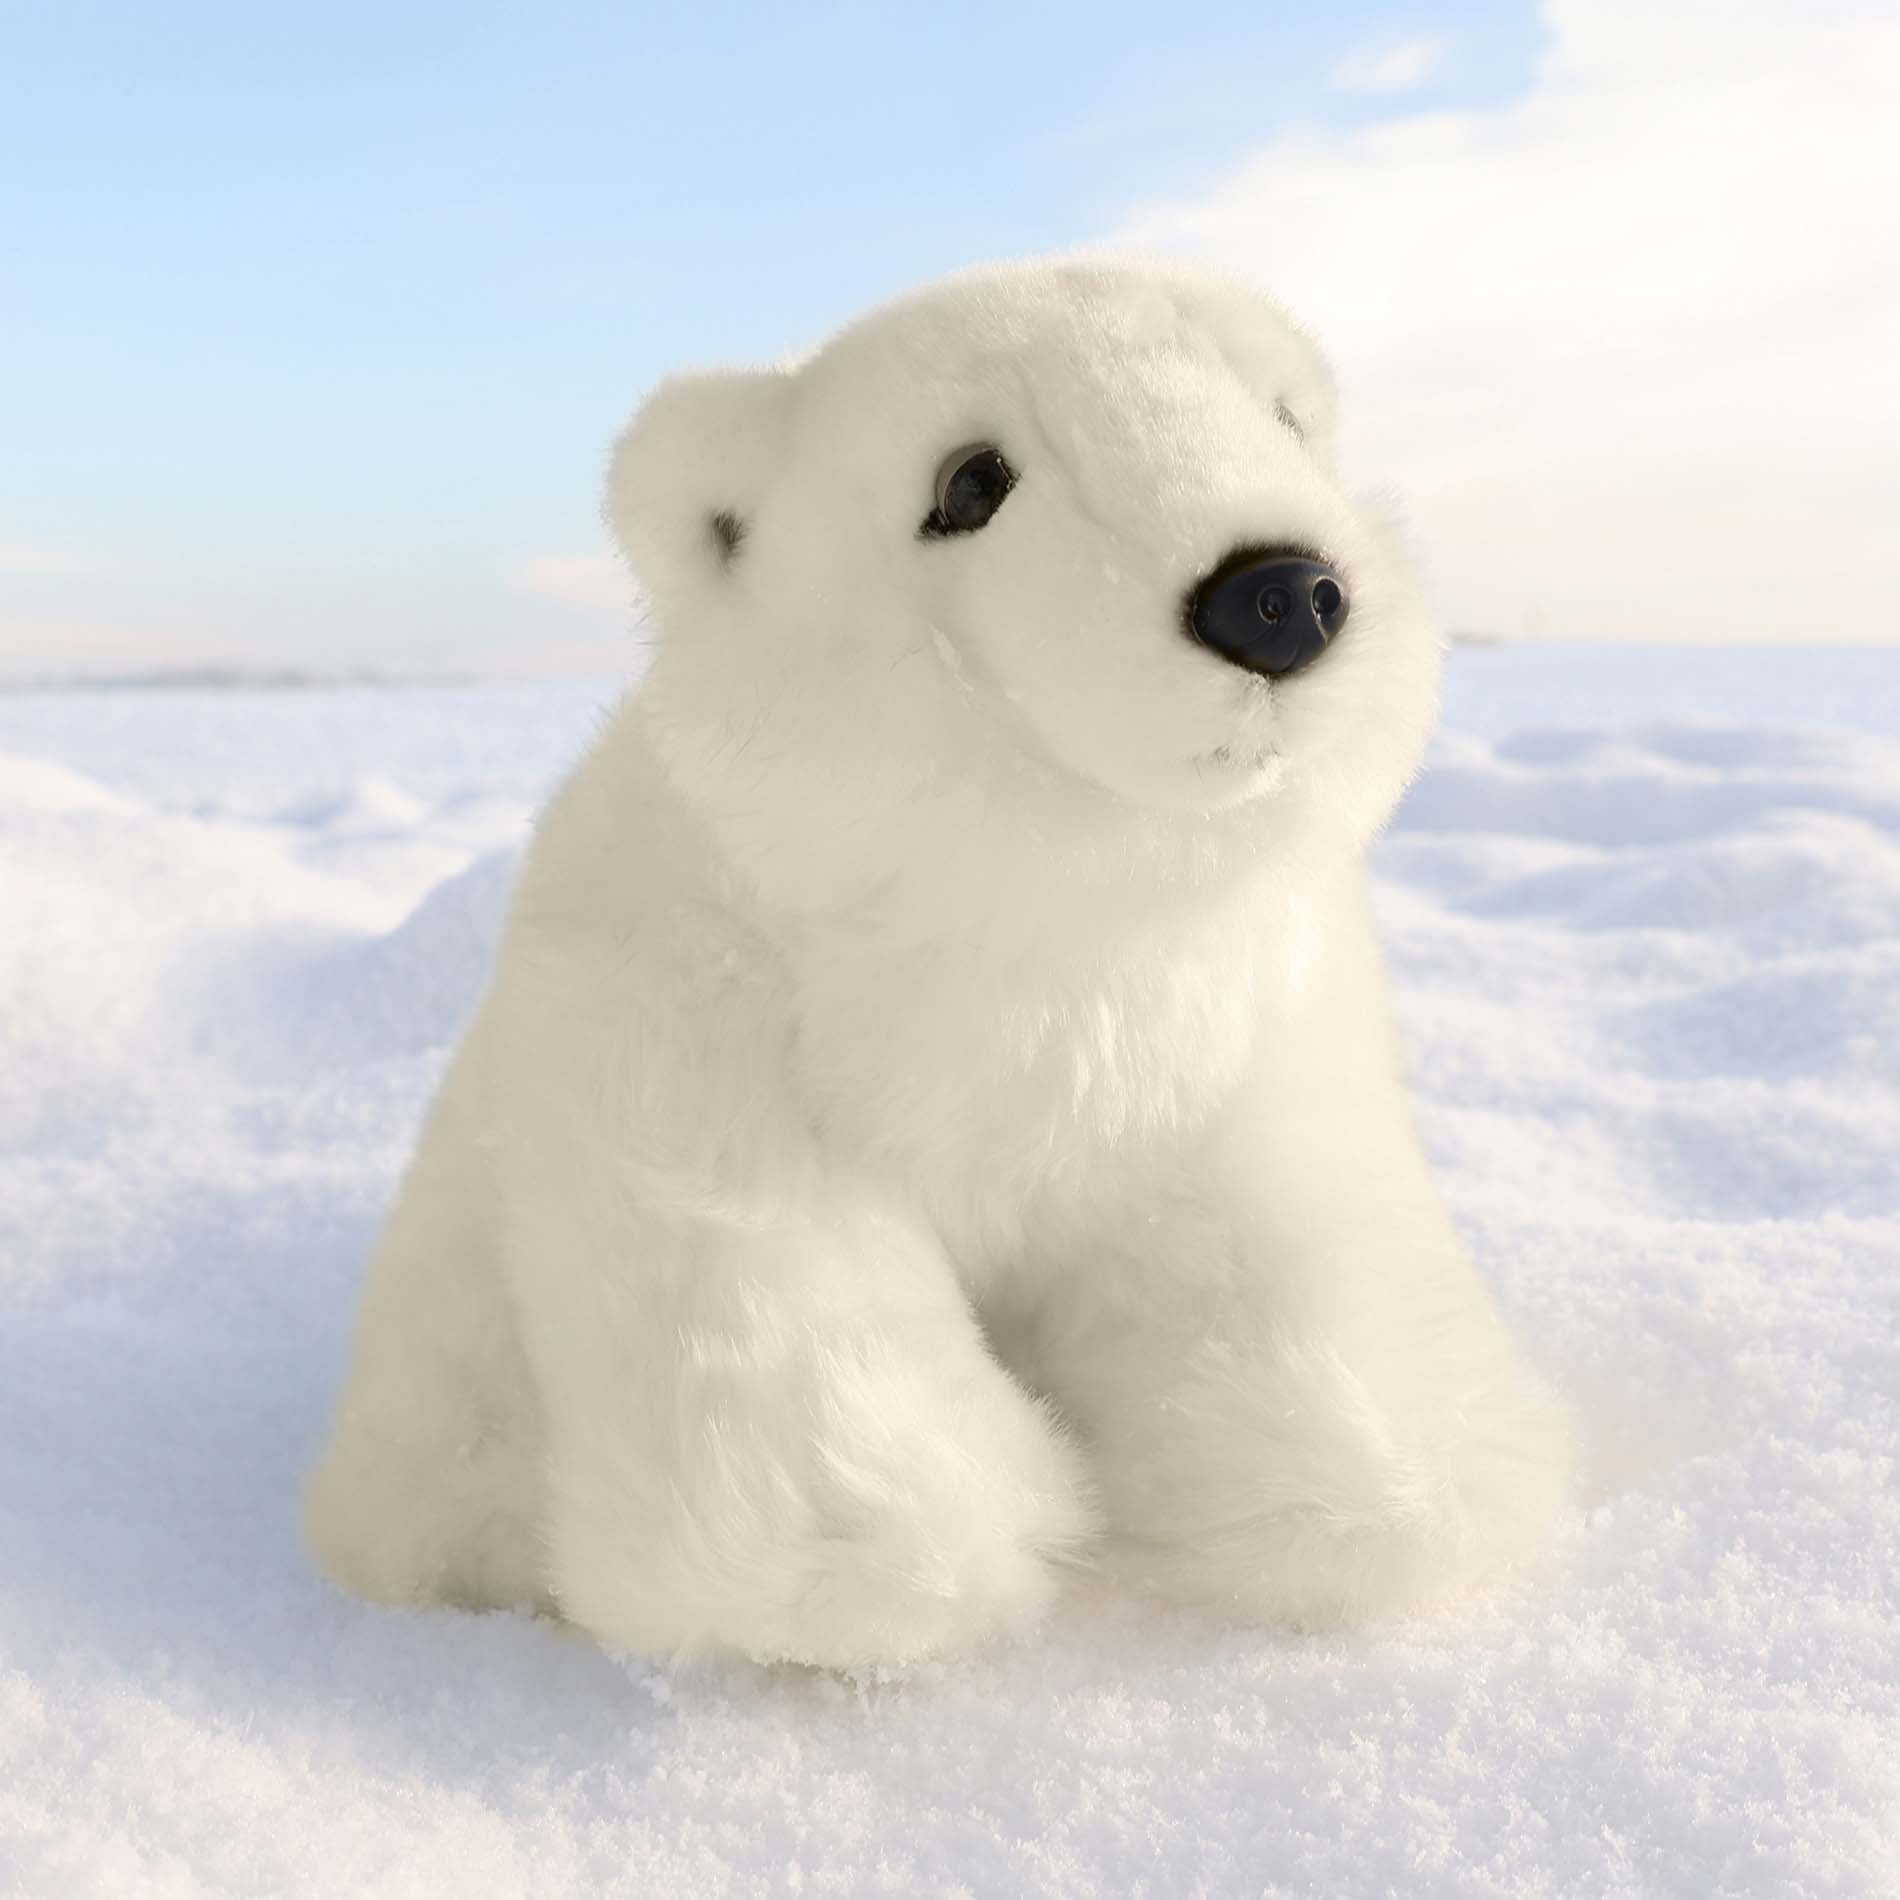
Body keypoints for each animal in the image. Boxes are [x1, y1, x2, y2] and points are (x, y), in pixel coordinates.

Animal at [304, 256, 1571, 1669]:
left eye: (1282, 416)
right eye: (969, 481)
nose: (1281, 593)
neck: (1019, 915)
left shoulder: (1214, 1026)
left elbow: (1265, 1241)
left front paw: (1379, 1488)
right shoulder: (688, 996)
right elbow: (770, 1285)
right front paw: (887, 1564)